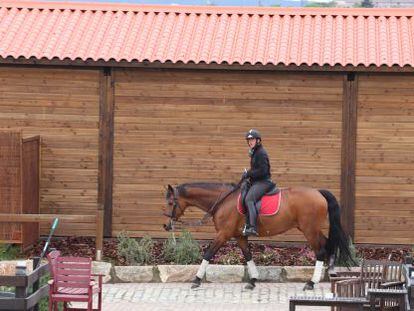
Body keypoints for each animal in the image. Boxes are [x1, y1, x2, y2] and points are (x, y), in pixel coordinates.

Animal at [163, 183, 352, 292]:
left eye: (171, 202)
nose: (166, 226)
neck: (223, 200)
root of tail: (318, 193)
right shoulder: (239, 236)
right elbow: (248, 256)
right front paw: (253, 280)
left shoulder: (223, 234)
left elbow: (208, 254)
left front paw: (196, 280)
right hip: (311, 229)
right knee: (328, 244)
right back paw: (331, 271)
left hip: (309, 229)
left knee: (320, 251)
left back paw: (311, 283)